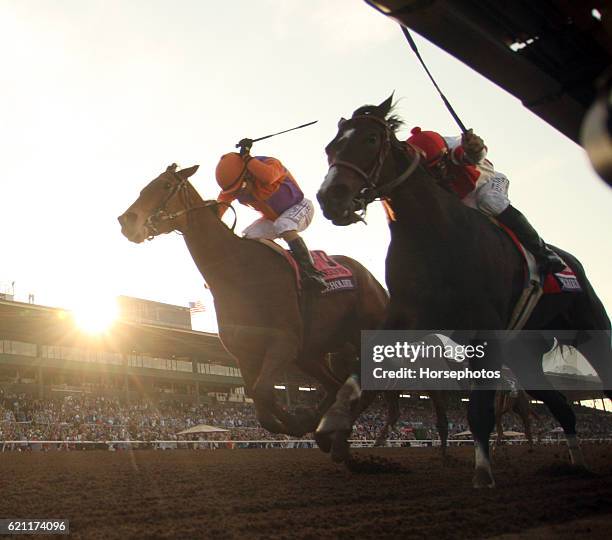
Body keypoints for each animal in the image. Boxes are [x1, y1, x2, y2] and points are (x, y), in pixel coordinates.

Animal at [117, 163, 390, 438]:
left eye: (165, 185)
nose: (126, 221)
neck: (239, 272)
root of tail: (372, 280)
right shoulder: (244, 354)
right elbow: (260, 404)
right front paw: (300, 421)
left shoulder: (283, 343)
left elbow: (263, 391)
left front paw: (299, 421)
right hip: (312, 354)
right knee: (336, 387)